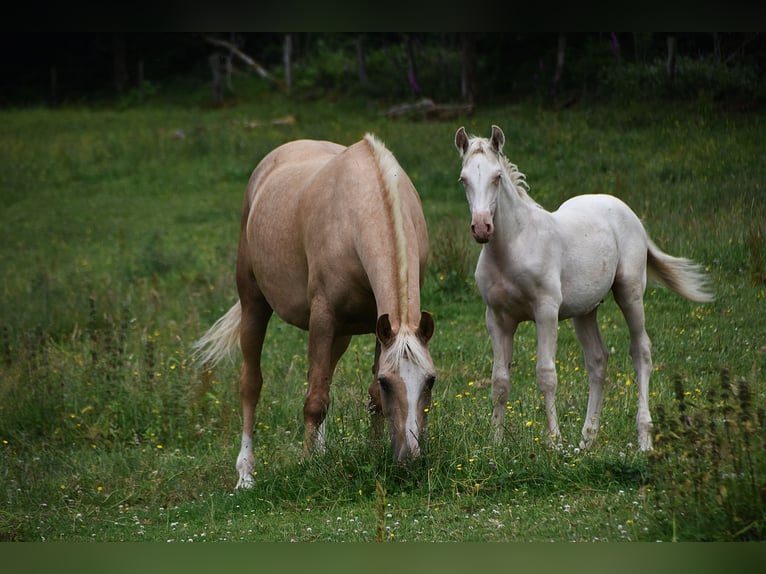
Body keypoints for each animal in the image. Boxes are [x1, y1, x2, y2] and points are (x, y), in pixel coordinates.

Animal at [194, 134, 436, 489]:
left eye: (430, 380)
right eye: (389, 381)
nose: (411, 459)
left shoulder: (379, 326)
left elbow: (369, 399)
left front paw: (374, 454)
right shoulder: (323, 318)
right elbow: (315, 401)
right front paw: (307, 467)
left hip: (342, 334)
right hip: (254, 304)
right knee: (251, 384)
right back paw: (246, 474)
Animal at [454, 125, 714, 451]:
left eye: (497, 176)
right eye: (463, 179)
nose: (481, 228)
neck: (514, 246)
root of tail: (629, 213)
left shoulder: (546, 311)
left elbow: (546, 374)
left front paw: (554, 441)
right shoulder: (497, 318)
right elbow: (499, 380)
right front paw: (495, 442)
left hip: (630, 293)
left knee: (641, 351)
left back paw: (643, 438)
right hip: (585, 311)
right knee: (598, 360)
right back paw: (587, 439)